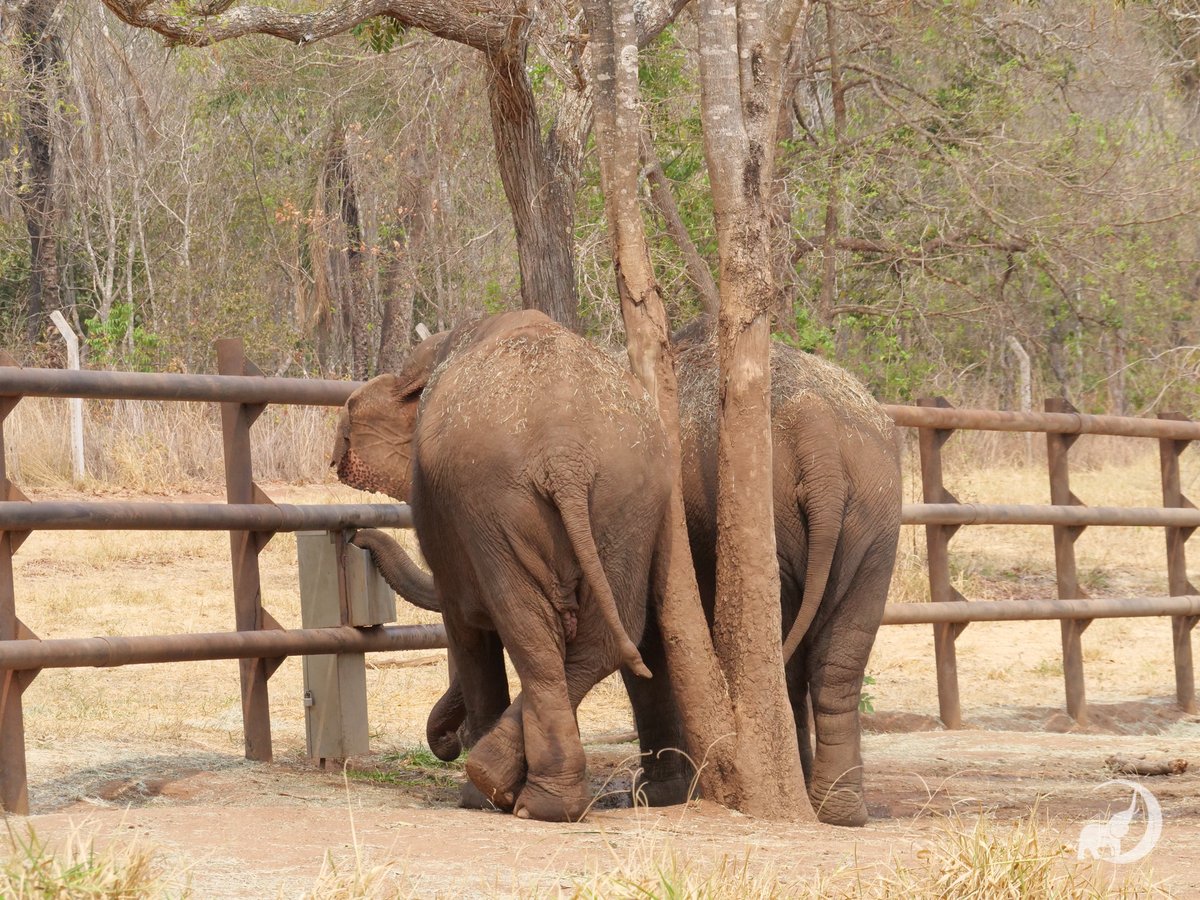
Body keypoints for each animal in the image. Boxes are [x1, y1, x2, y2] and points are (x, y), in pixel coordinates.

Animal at [330, 309, 683, 821]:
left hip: (499, 504)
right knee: (601, 640)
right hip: (629, 502)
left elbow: (466, 630)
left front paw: (476, 797)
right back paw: (546, 799)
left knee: (528, 630)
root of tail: (565, 455)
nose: (355, 534)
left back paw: (506, 790)